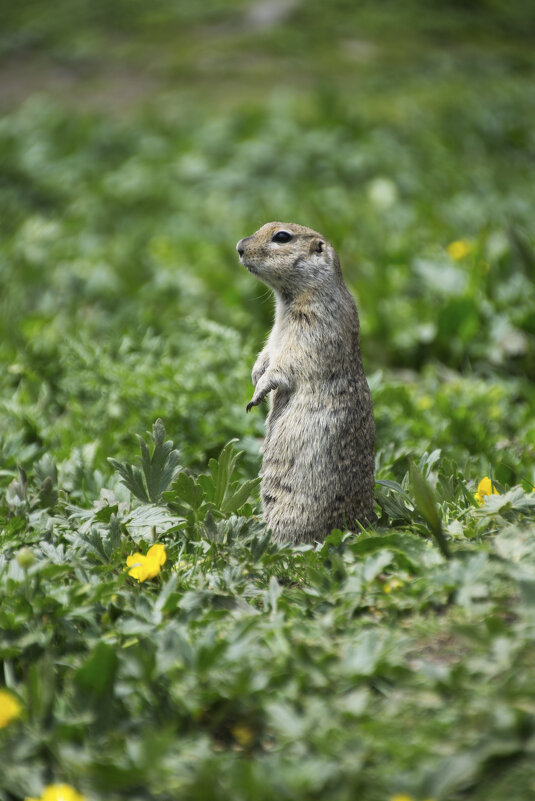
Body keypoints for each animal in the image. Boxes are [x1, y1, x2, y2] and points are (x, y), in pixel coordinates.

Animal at [237, 222, 374, 540]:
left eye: (281, 237)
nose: (239, 247)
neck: (288, 299)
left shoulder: (310, 329)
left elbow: (284, 365)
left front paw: (257, 394)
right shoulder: (275, 335)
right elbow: (266, 354)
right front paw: (254, 375)